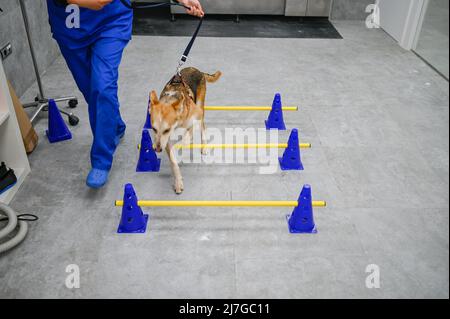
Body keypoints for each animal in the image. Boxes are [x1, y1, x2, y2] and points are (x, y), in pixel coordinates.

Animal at [150, 66, 222, 194]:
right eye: (154, 129)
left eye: (166, 130)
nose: (157, 149)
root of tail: (197, 70)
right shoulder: (166, 141)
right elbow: (173, 162)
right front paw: (178, 183)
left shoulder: (195, 116)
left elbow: (185, 140)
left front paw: (182, 146)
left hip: (200, 106)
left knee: (202, 126)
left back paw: (203, 147)